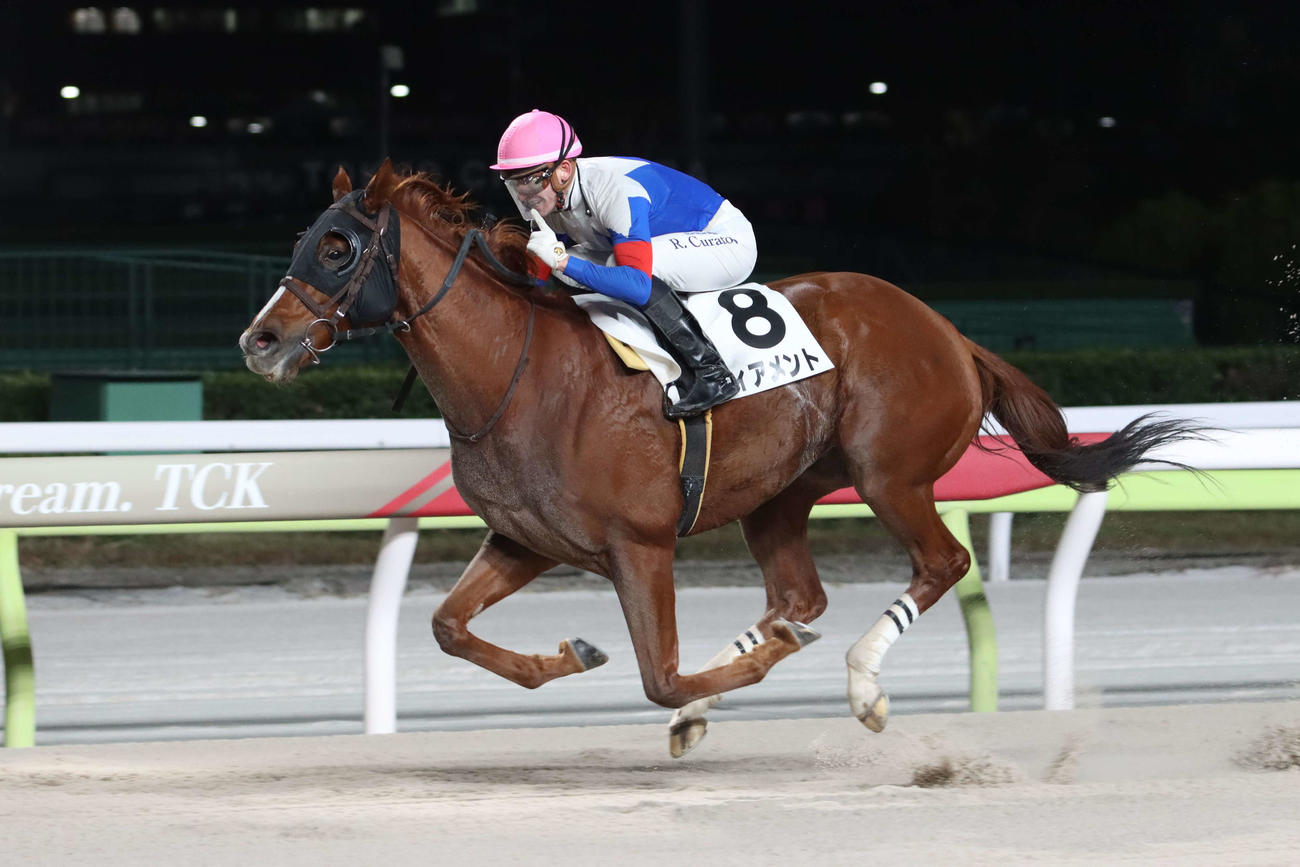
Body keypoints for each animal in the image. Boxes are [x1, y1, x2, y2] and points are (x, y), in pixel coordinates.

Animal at [241, 161, 1200, 757]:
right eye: (303, 239)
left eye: (336, 246)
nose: (261, 341)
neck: (519, 371)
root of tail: (949, 331)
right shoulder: (526, 540)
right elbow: (448, 627)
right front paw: (573, 655)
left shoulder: (640, 544)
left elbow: (660, 676)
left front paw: (721, 676)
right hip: (781, 492)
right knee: (799, 595)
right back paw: (764, 657)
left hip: (891, 473)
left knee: (941, 561)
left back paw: (861, 685)